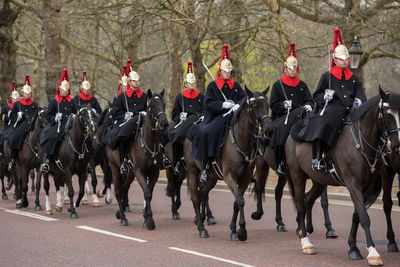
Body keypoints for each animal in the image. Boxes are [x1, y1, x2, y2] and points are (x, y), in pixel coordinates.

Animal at [105, 89, 168, 228]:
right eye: (151, 106)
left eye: (164, 104)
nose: (164, 123)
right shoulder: (139, 172)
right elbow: (147, 194)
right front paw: (149, 221)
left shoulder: (154, 173)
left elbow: (149, 193)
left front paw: (146, 217)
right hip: (115, 168)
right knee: (118, 191)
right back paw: (123, 218)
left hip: (130, 173)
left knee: (124, 189)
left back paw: (120, 213)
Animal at [183, 87, 274, 241]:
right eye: (254, 106)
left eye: (267, 105)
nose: (269, 130)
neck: (241, 141)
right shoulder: (229, 176)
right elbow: (240, 201)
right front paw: (242, 231)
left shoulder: (244, 178)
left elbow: (237, 202)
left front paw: (233, 230)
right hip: (192, 172)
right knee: (195, 198)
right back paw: (201, 228)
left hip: (212, 178)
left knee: (202, 194)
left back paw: (202, 219)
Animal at [284, 88, 400, 266]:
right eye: (387, 114)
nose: (397, 145)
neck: (361, 141)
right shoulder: (353, 184)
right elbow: (365, 217)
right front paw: (373, 252)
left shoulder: (365, 187)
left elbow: (357, 216)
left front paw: (353, 248)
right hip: (298, 177)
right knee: (301, 205)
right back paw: (306, 242)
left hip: (319, 181)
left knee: (307, 199)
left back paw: (304, 231)